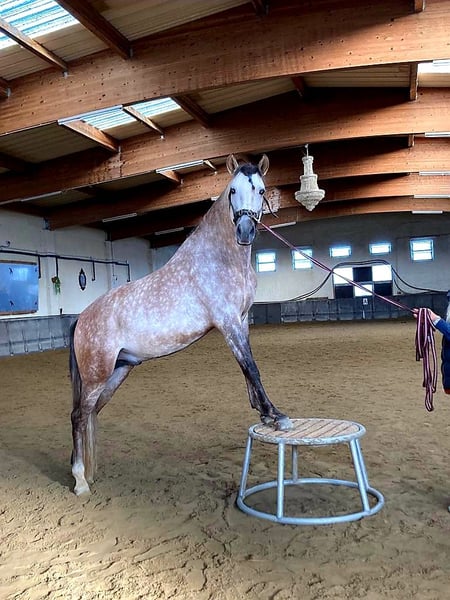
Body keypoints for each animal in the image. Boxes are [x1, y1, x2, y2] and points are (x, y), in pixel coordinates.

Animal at [69, 154, 292, 495]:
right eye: (232, 191)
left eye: (261, 190)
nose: (244, 232)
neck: (219, 260)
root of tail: (81, 319)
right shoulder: (227, 321)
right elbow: (251, 366)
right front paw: (276, 415)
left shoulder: (241, 320)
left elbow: (247, 367)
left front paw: (263, 412)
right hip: (96, 376)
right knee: (79, 417)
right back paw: (80, 481)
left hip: (117, 372)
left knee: (89, 414)